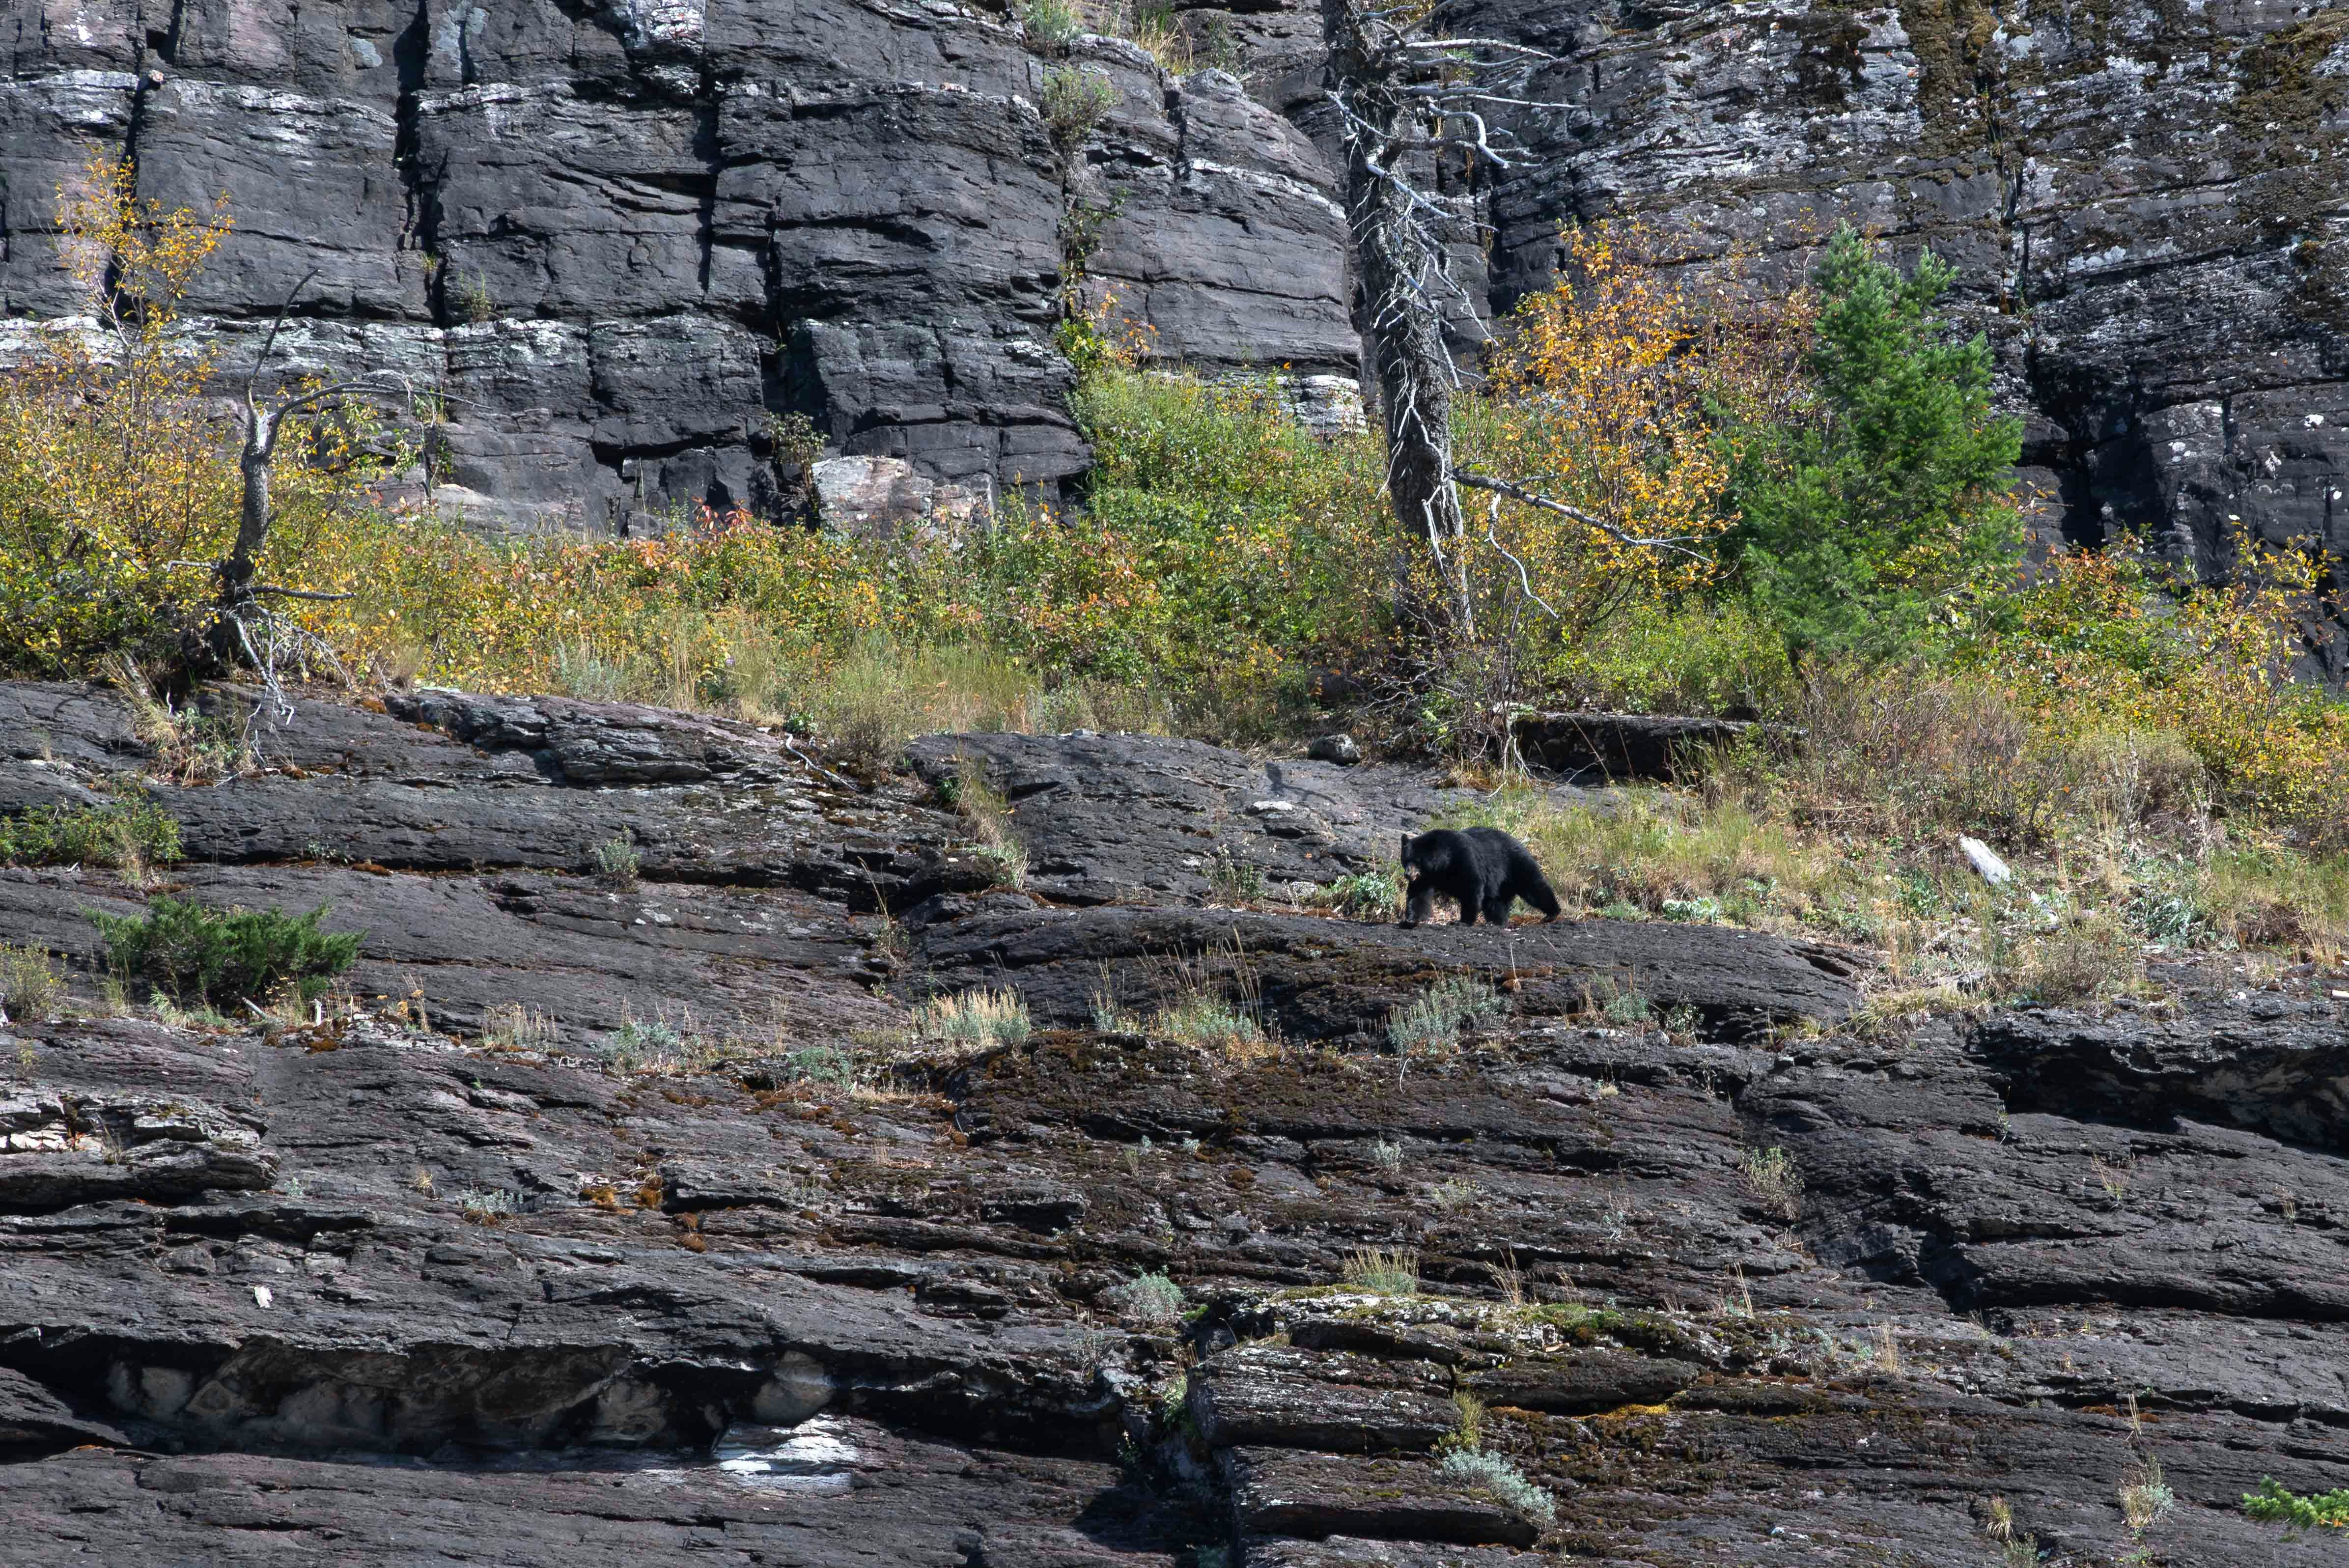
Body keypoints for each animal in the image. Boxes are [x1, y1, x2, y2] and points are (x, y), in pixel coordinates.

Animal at [1397, 827, 1562, 928]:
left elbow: (1471, 886)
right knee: (1495, 902)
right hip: (1501, 884)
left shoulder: (1464, 858)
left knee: (1534, 887)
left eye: (1418, 861)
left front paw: (1463, 921)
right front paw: (1410, 920)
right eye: (1405, 859)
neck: (1444, 863)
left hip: (1517, 864)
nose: (1408, 875)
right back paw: (1497, 922)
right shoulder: (1425, 877)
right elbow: (1418, 895)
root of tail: (1520, 843)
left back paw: (1552, 913)